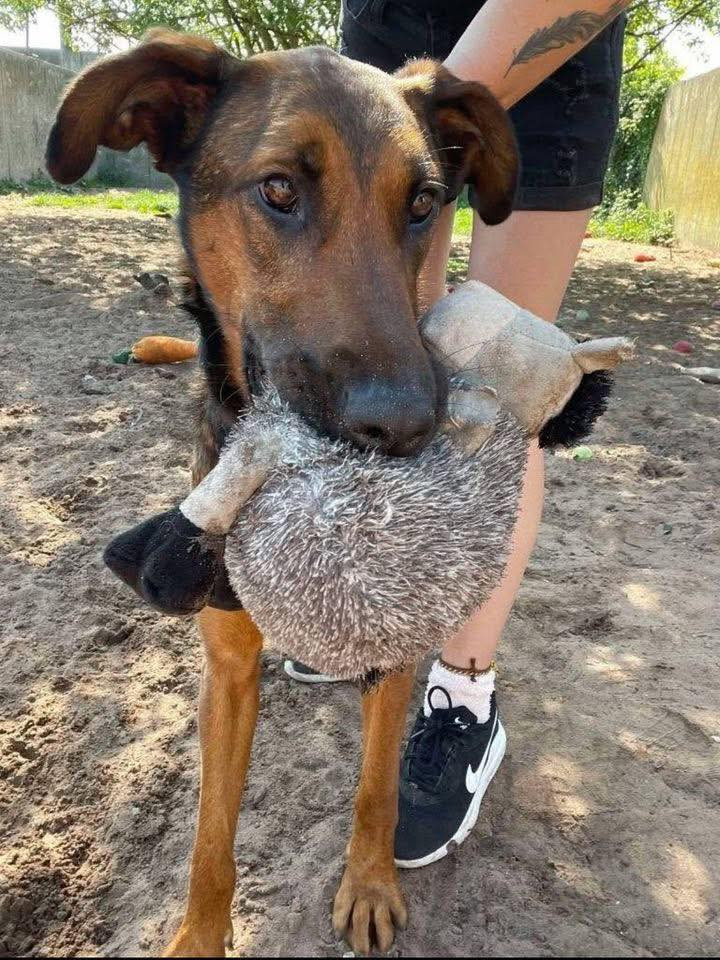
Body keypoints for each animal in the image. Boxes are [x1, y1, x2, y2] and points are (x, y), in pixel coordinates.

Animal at [47, 29, 518, 956]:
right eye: (278, 190)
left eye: (423, 203)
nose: (407, 425)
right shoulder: (226, 662)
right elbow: (210, 836)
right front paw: (198, 936)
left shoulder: (396, 645)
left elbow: (374, 790)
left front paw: (368, 886)